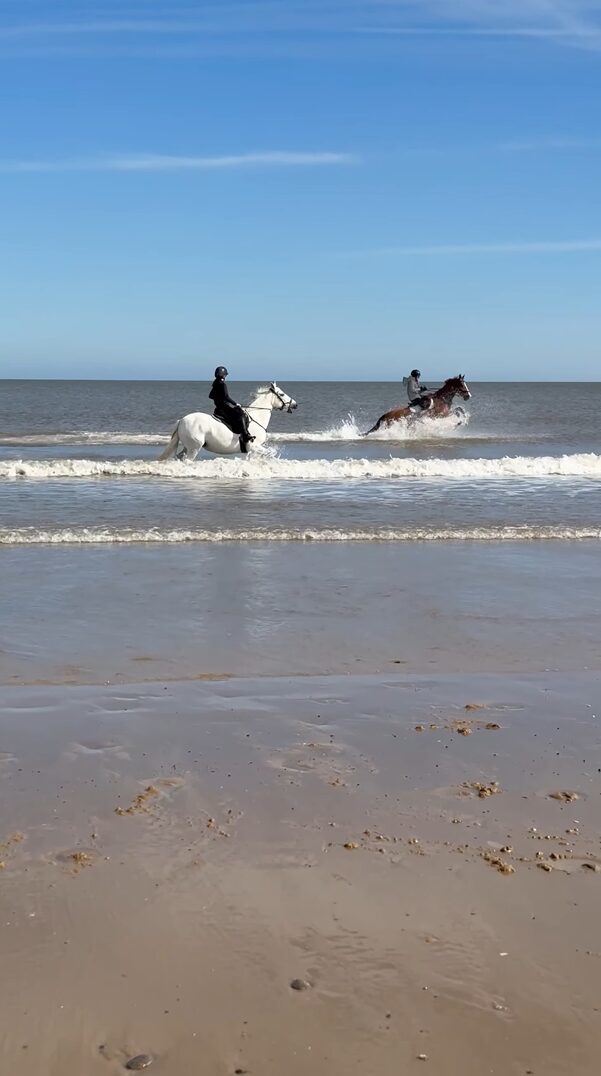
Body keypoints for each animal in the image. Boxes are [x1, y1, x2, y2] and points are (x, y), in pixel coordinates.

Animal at [159, 380, 296, 460]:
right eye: (282, 394)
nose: (295, 404)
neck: (257, 417)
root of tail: (182, 421)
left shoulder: (251, 449)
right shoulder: (255, 446)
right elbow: (271, 453)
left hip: (188, 447)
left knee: (179, 457)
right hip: (194, 448)